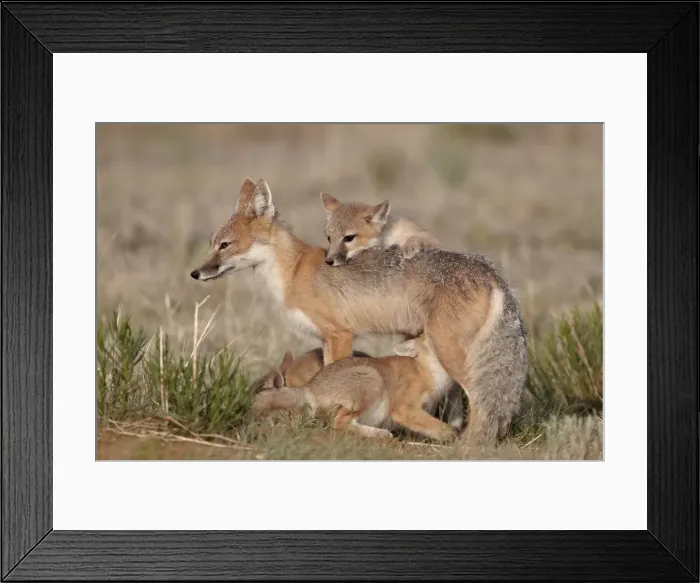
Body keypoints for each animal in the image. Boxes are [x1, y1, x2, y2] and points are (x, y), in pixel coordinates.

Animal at [251, 335, 460, 442]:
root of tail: (309, 387)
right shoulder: (403, 408)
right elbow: (447, 429)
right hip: (372, 380)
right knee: (340, 423)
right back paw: (380, 434)